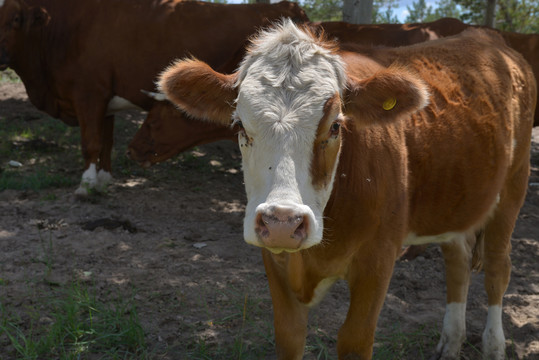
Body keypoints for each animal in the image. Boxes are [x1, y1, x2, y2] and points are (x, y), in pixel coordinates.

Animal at [0, 0, 308, 194]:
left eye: (15, 19)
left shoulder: (88, 94)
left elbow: (91, 143)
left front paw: (85, 186)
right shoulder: (104, 101)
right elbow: (106, 142)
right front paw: (103, 180)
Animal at [156, 20, 536, 360]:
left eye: (336, 126)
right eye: (239, 126)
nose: (283, 222)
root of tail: (488, 39)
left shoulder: (379, 259)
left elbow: (354, 340)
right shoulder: (275, 260)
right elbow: (289, 337)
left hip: (514, 184)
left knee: (497, 269)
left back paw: (493, 346)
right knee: (457, 261)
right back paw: (451, 342)